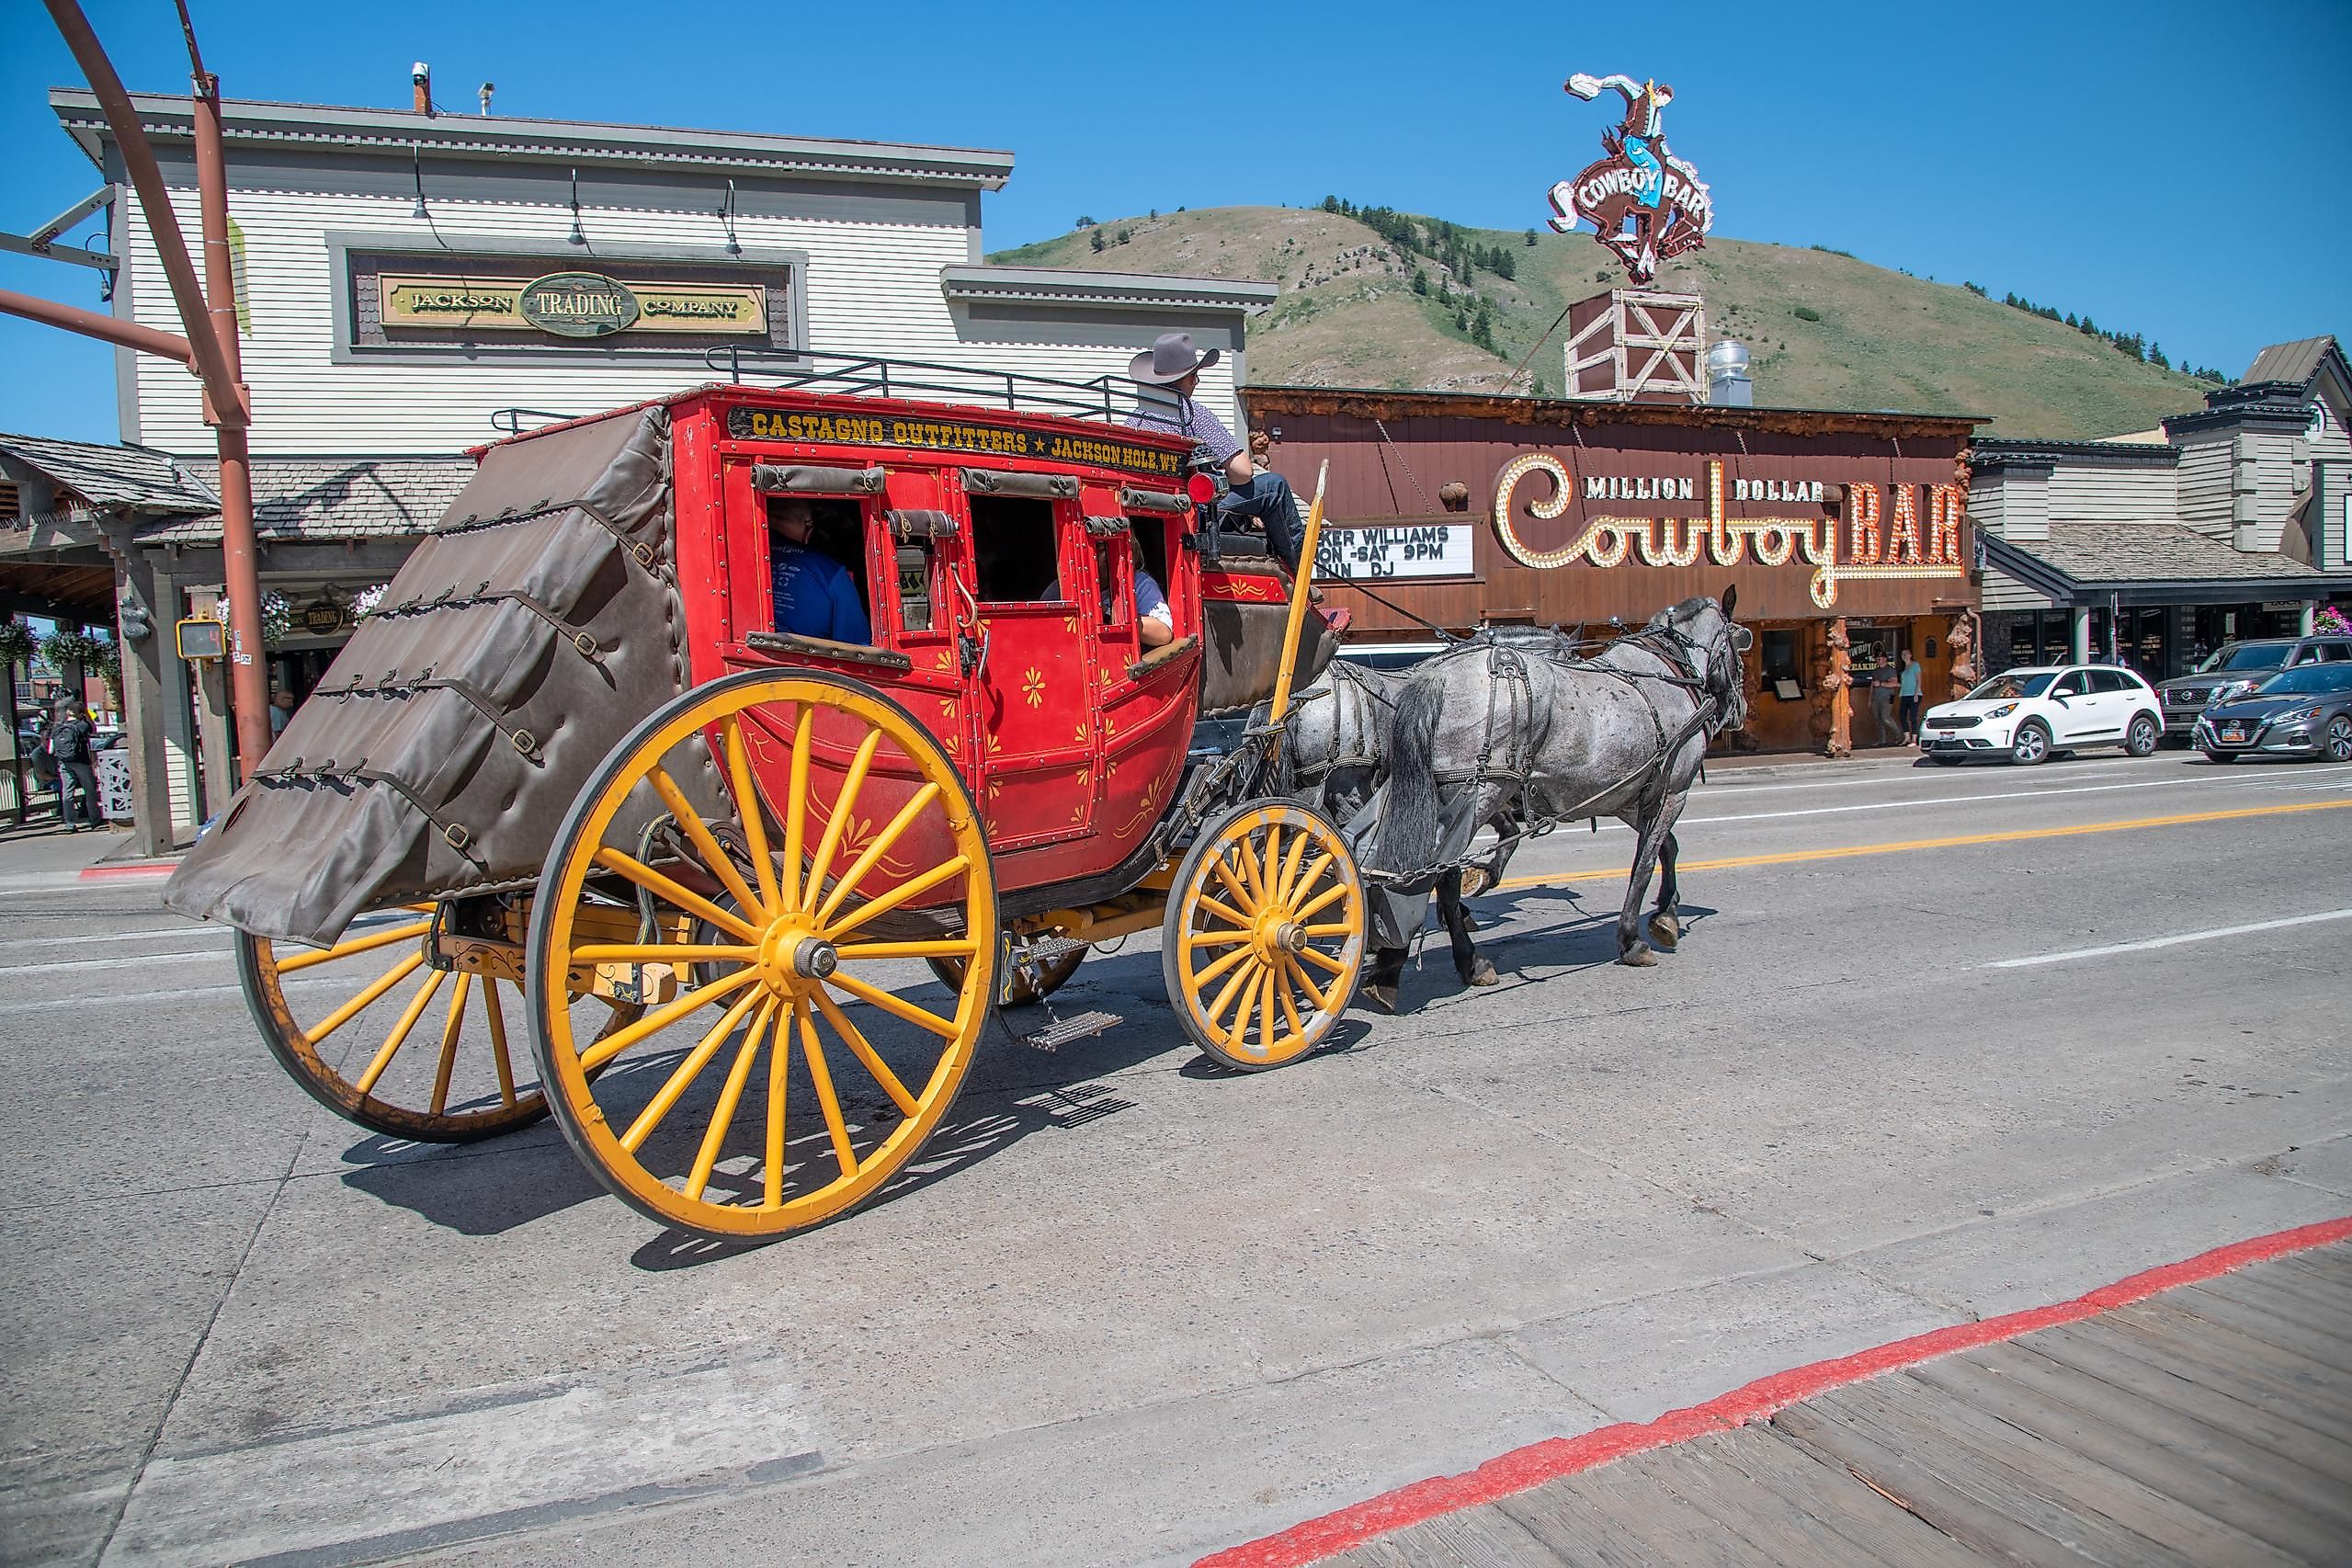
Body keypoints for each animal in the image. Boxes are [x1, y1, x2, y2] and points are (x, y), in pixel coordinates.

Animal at [1364, 587, 1749, 1006]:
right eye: (1739, 643)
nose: (1741, 709)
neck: (1667, 673)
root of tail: (1437, 678)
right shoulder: (1673, 791)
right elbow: (1645, 864)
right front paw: (1634, 937)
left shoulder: (1631, 795)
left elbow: (1667, 848)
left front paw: (1666, 913)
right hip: (1479, 792)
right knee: (1437, 872)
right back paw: (1454, 962)